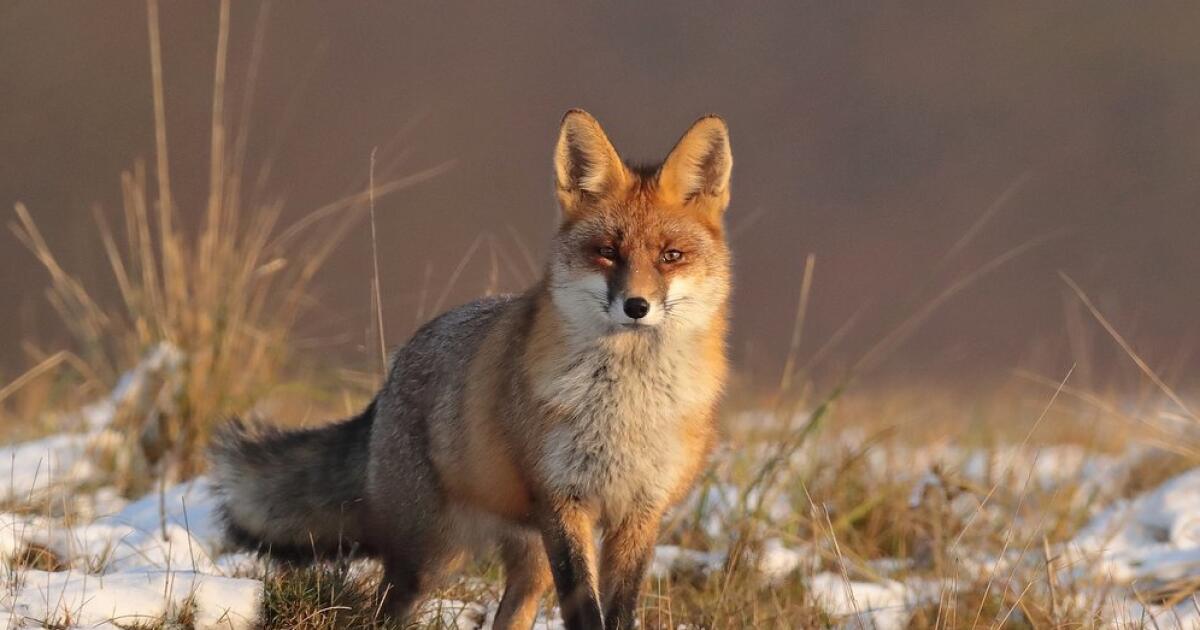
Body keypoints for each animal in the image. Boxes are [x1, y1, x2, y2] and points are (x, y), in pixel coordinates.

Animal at [212, 110, 734, 624]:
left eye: (670, 256)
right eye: (607, 252)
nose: (636, 306)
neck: (626, 410)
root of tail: (392, 374)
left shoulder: (640, 512)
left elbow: (620, 610)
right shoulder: (563, 502)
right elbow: (584, 611)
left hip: (529, 561)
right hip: (430, 557)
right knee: (384, 609)